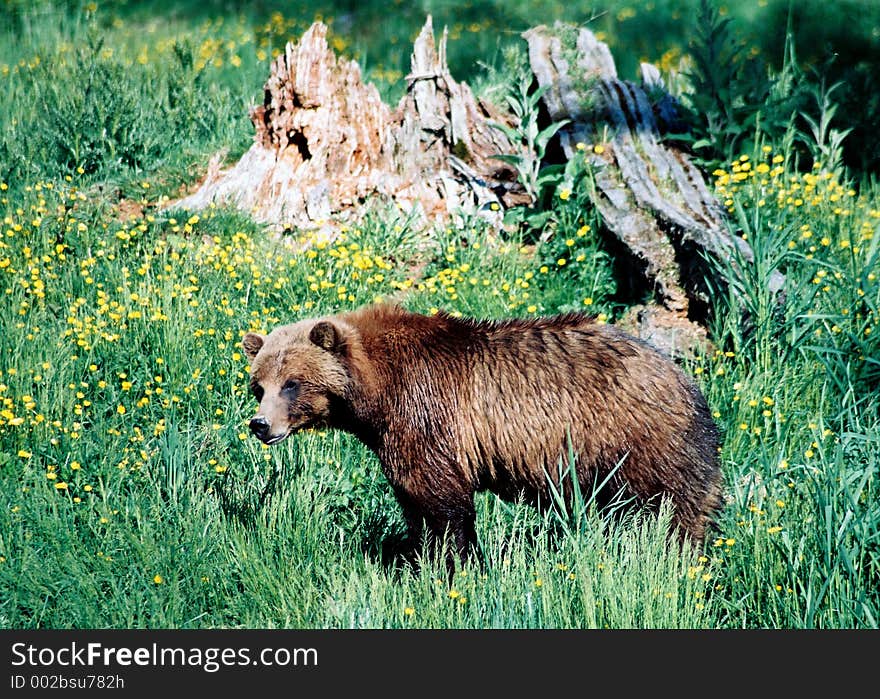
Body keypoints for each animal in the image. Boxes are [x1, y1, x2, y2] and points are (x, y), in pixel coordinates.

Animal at [242, 304, 720, 564]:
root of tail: (685, 378)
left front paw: (451, 563)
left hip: (638, 438)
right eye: (259, 385)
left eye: (293, 383)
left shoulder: (427, 411)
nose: (260, 425)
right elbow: (414, 501)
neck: (377, 392)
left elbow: (443, 501)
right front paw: (420, 555)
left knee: (674, 507)